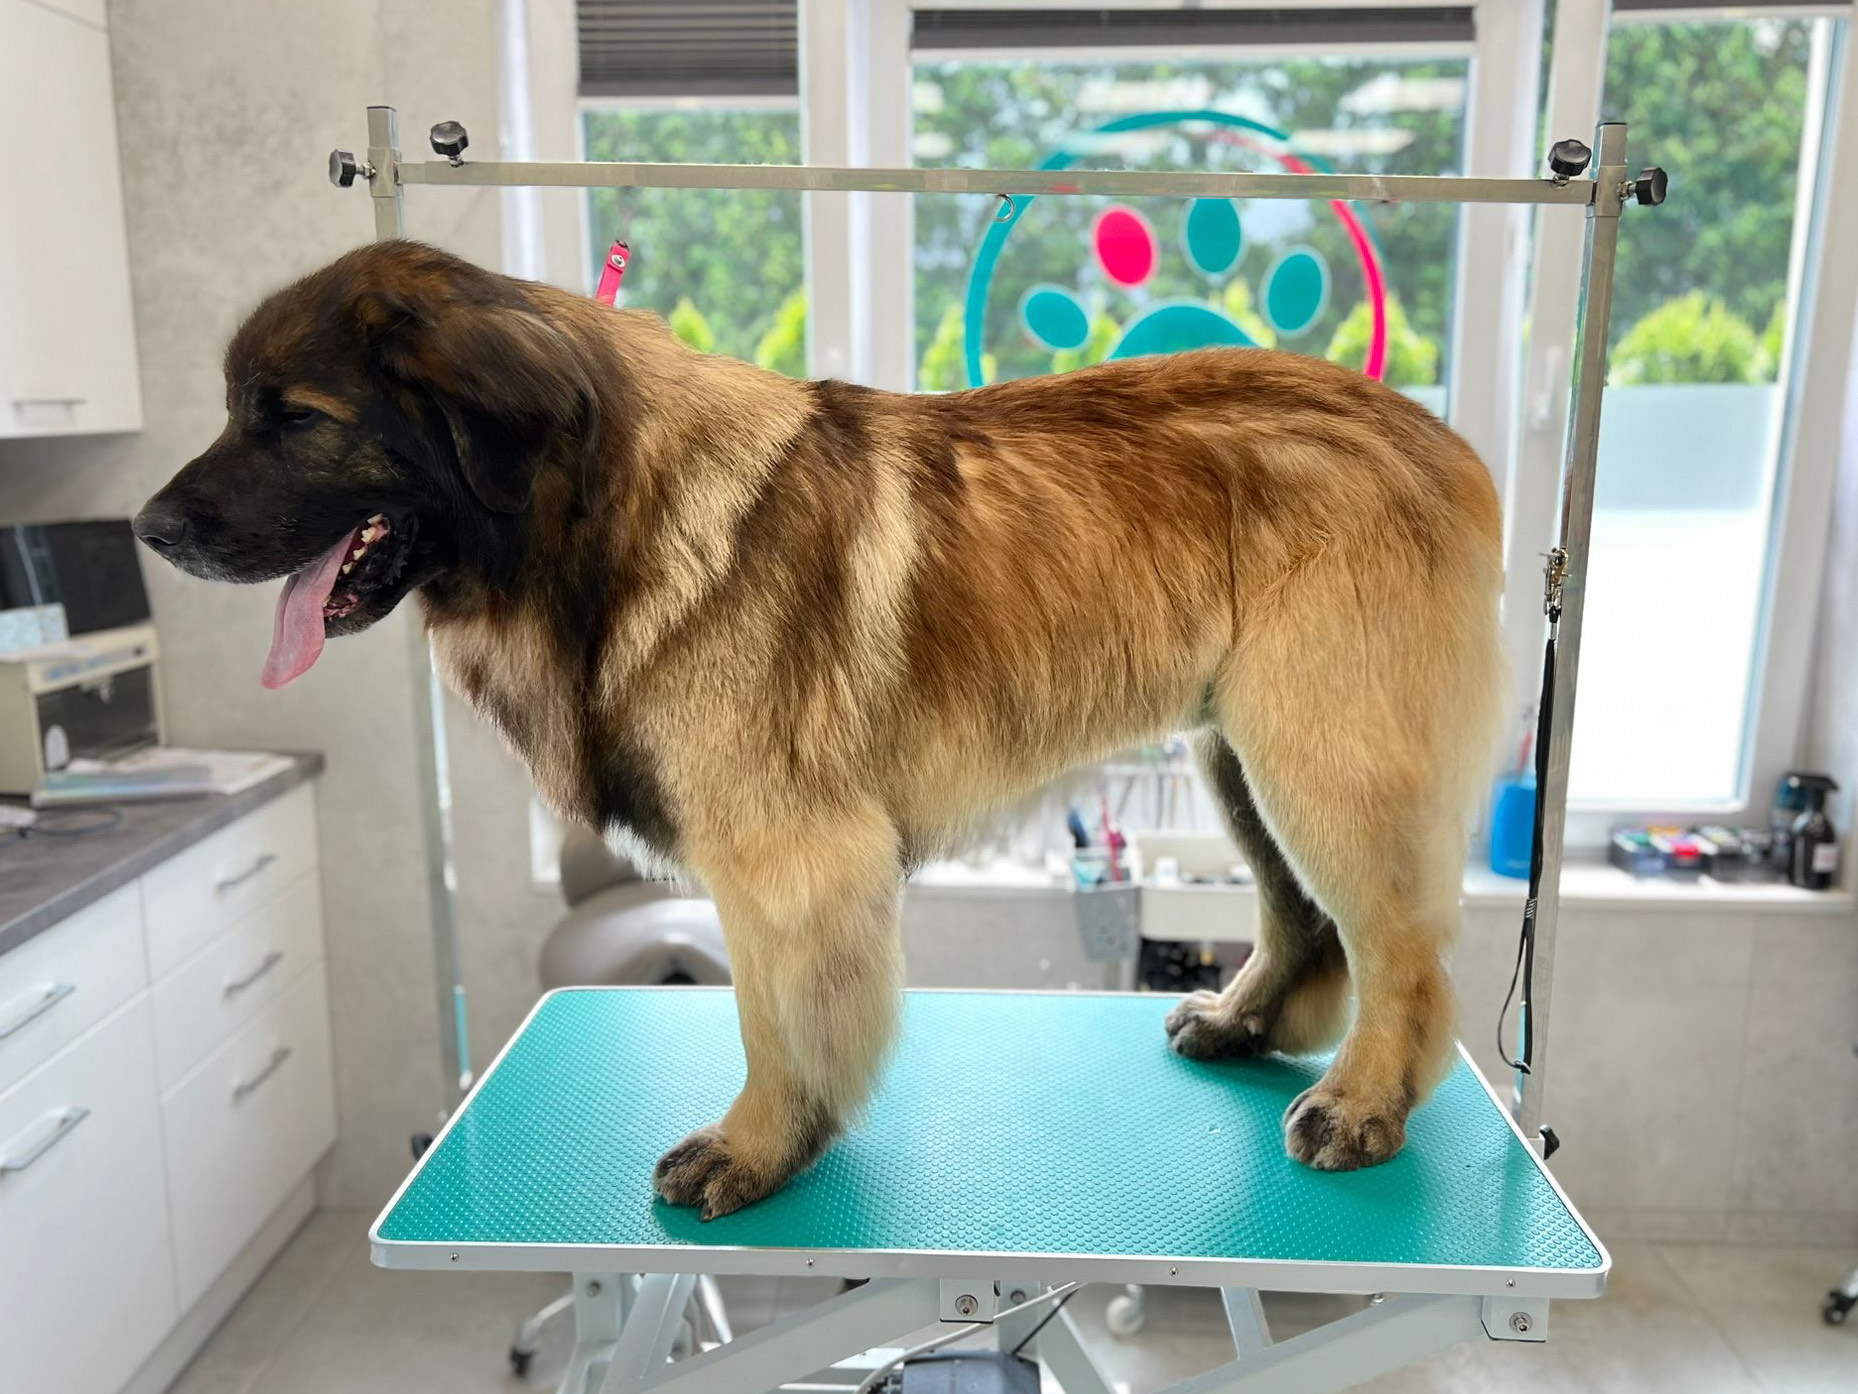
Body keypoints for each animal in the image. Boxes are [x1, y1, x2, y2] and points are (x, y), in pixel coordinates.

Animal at [136, 240, 1504, 1219]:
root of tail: (1440, 437)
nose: (149, 527)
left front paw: (755, 1148)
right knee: (1301, 915)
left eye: (292, 417)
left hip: (1317, 753)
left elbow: (770, 1018)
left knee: (1400, 950)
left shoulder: (782, 855)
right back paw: (1242, 1024)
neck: (605, 514)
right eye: (235, 406)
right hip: (1240, 754)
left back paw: (1364, 1105)